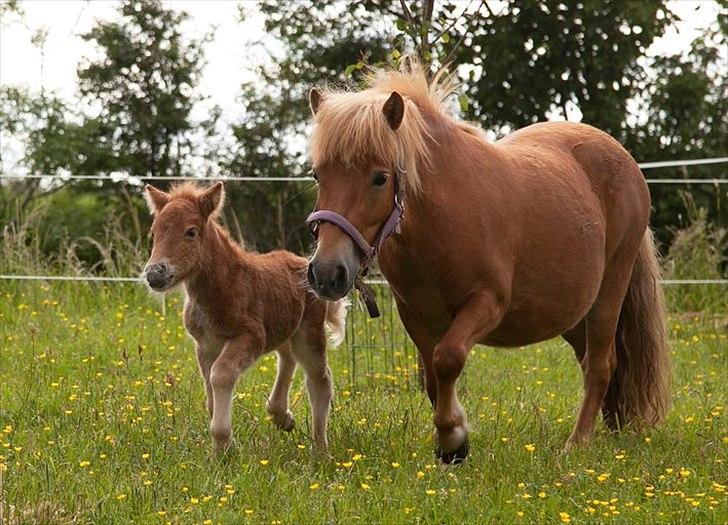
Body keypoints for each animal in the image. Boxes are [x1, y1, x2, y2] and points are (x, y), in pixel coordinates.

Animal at [144, 182, 348, 452]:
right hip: (283, 326)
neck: (224, 285)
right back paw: (282, 417)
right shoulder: (205, 346)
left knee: (319, 379)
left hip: (309, 331)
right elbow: (210, 392)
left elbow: (221, 374)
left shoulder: (250, 336)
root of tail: (305, 263)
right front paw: (224, 446)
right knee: (287, 357)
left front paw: (223, 446)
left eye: (191, 232)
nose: (154, 274)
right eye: (154, 233)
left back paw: (320, 450)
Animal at [306, 62, 672, 462]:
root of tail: (627, 162)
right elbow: (433, 379)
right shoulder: (415, 315)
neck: (440, 217)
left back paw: (578, 442)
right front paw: (452, 440)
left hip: (610, 292)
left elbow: (447, 360)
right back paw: (611, 430)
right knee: (601, 361)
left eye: (380, 177)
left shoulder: (487, 304)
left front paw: (453, 437)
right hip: (576, 312)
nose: (326, 273)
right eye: (317, 173)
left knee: (600, 365)